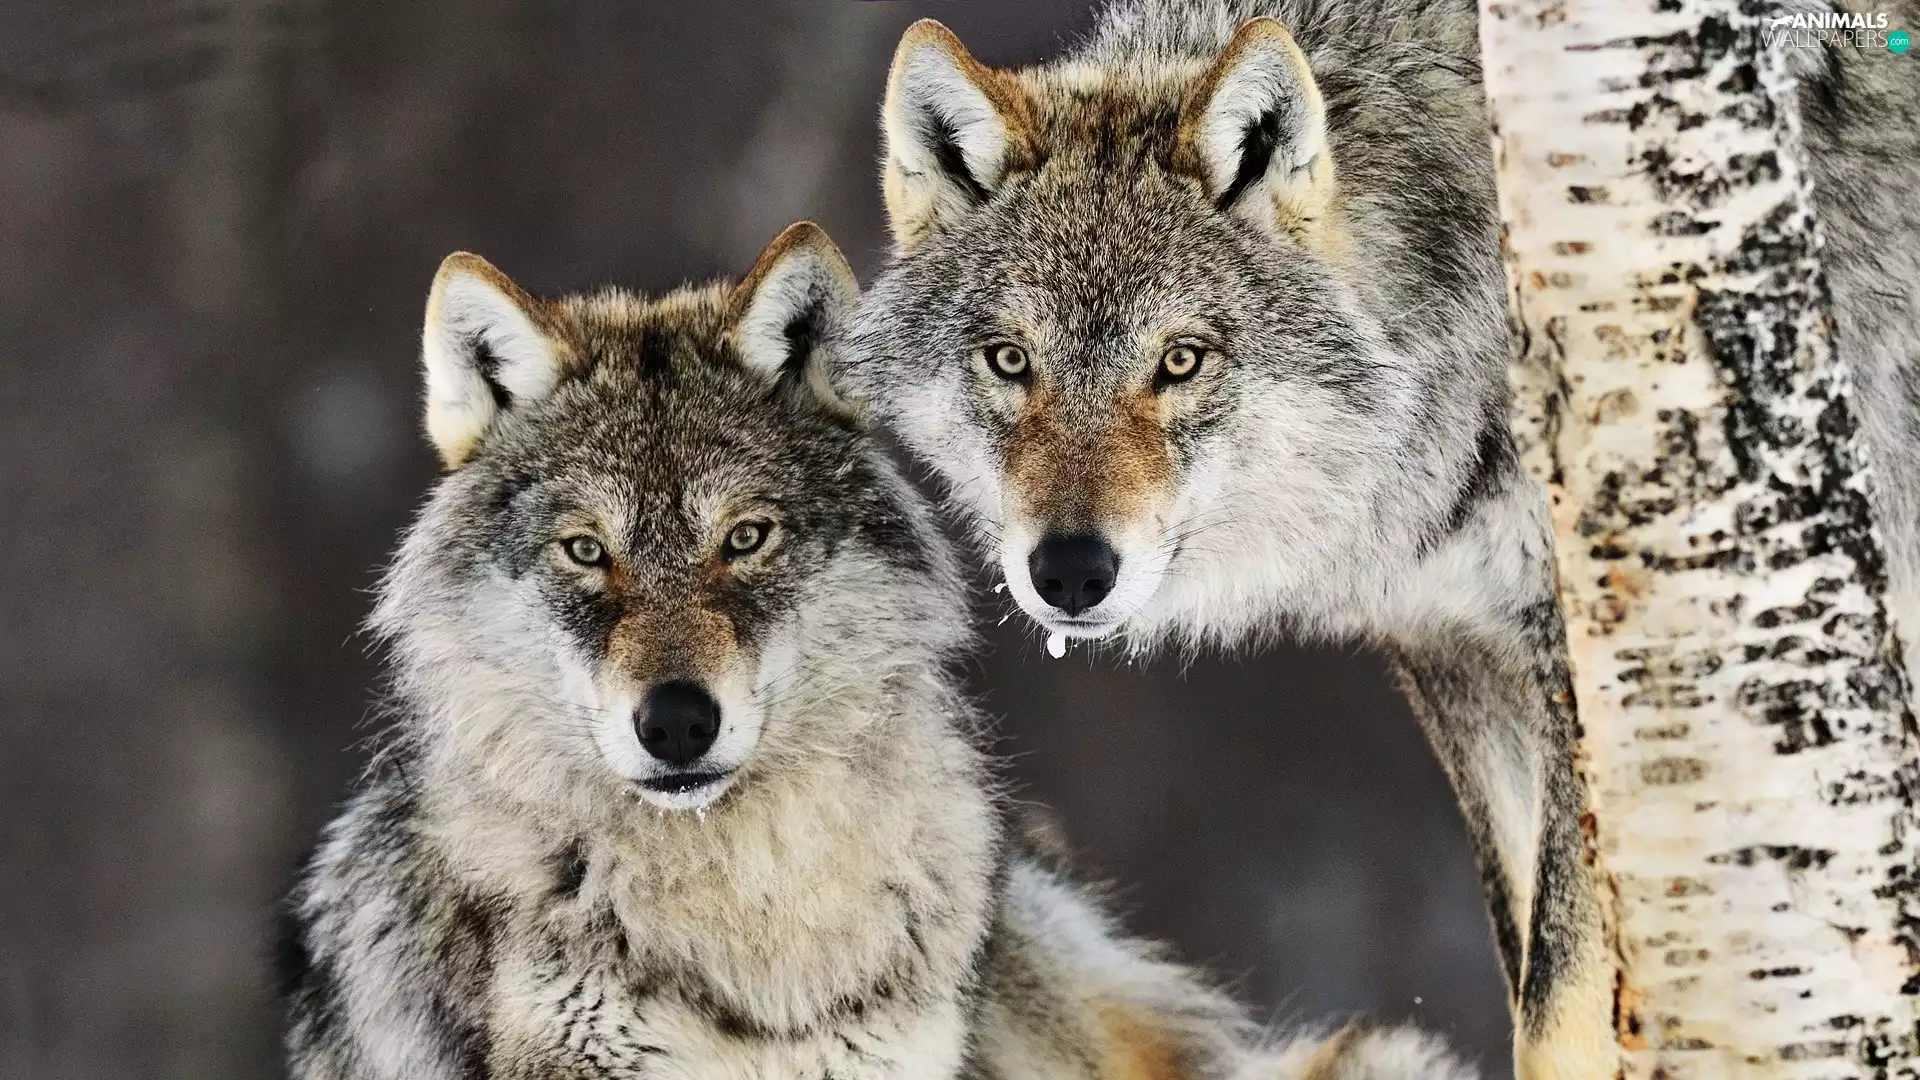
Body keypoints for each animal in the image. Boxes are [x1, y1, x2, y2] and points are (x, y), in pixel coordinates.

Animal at [846, 2, 1920, 1077]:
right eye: (1009, 360)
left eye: (1182, 361)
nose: (1069, 572)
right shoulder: (1456, 651)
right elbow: (1520, 950)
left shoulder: (1584, 655)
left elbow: (1558, 1000)